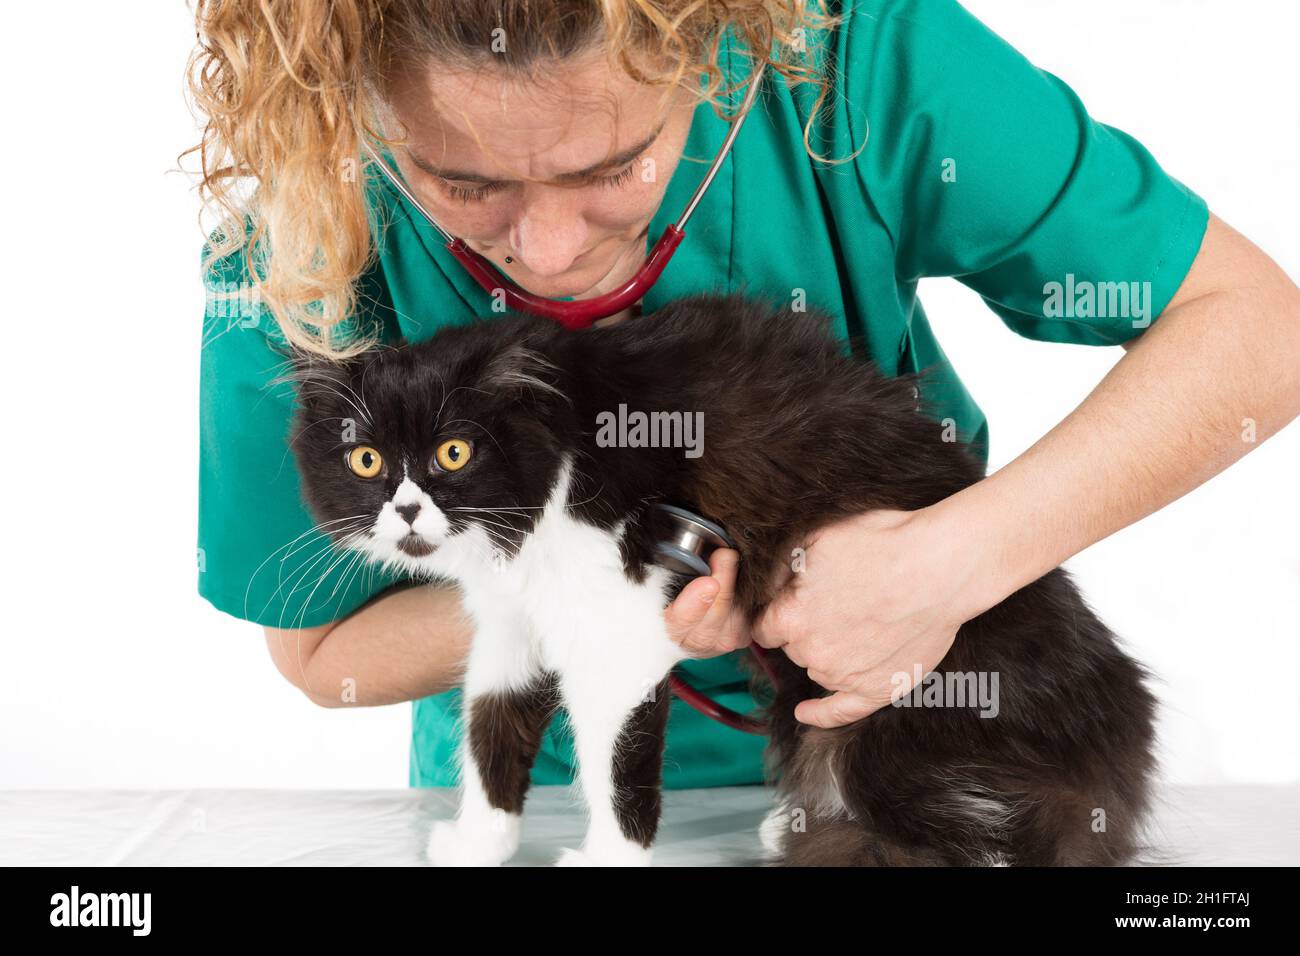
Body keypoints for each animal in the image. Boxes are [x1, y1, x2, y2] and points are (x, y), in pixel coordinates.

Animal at [284, 291, 1159, 868]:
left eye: (454, 453)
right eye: (366, 459)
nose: (406, 509)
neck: (552, 446)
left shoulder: (620, 624)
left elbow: (614, 766)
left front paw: (608, 859)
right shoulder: (510, 620)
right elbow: (491, 727)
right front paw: (481, 842)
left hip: (894, 713)